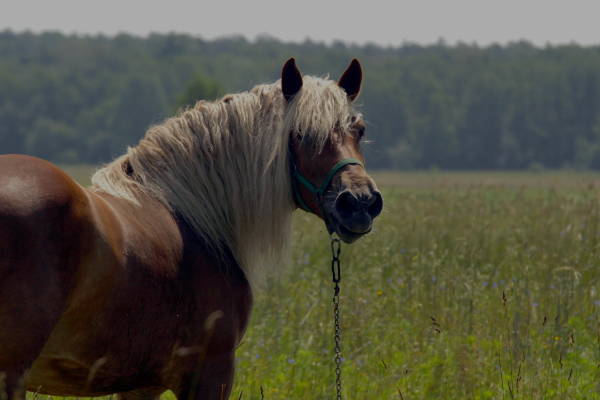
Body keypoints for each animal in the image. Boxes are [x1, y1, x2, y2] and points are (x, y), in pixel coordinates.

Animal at [0, 58, 382, 400]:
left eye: (360, 130)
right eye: (300, 134)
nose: (359, 202)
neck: (193, 217)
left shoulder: (141, 387)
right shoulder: (212, 375)